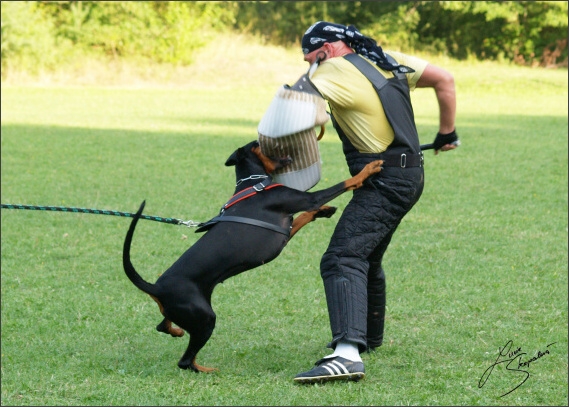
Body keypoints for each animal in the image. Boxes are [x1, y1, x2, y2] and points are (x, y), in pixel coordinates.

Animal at [122, 139, 384, 372]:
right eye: (259, 143)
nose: (287, 152)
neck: (255, 184)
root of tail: (156, 288)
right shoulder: (305, 199)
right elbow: (342, 184)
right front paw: (369, 169)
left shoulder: (286, 231)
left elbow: (304, 215)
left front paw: (324, 211)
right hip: (205, 318)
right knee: (185, 362)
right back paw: (208, 369)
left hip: (185, 312)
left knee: (162, 325)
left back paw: (175, 330)